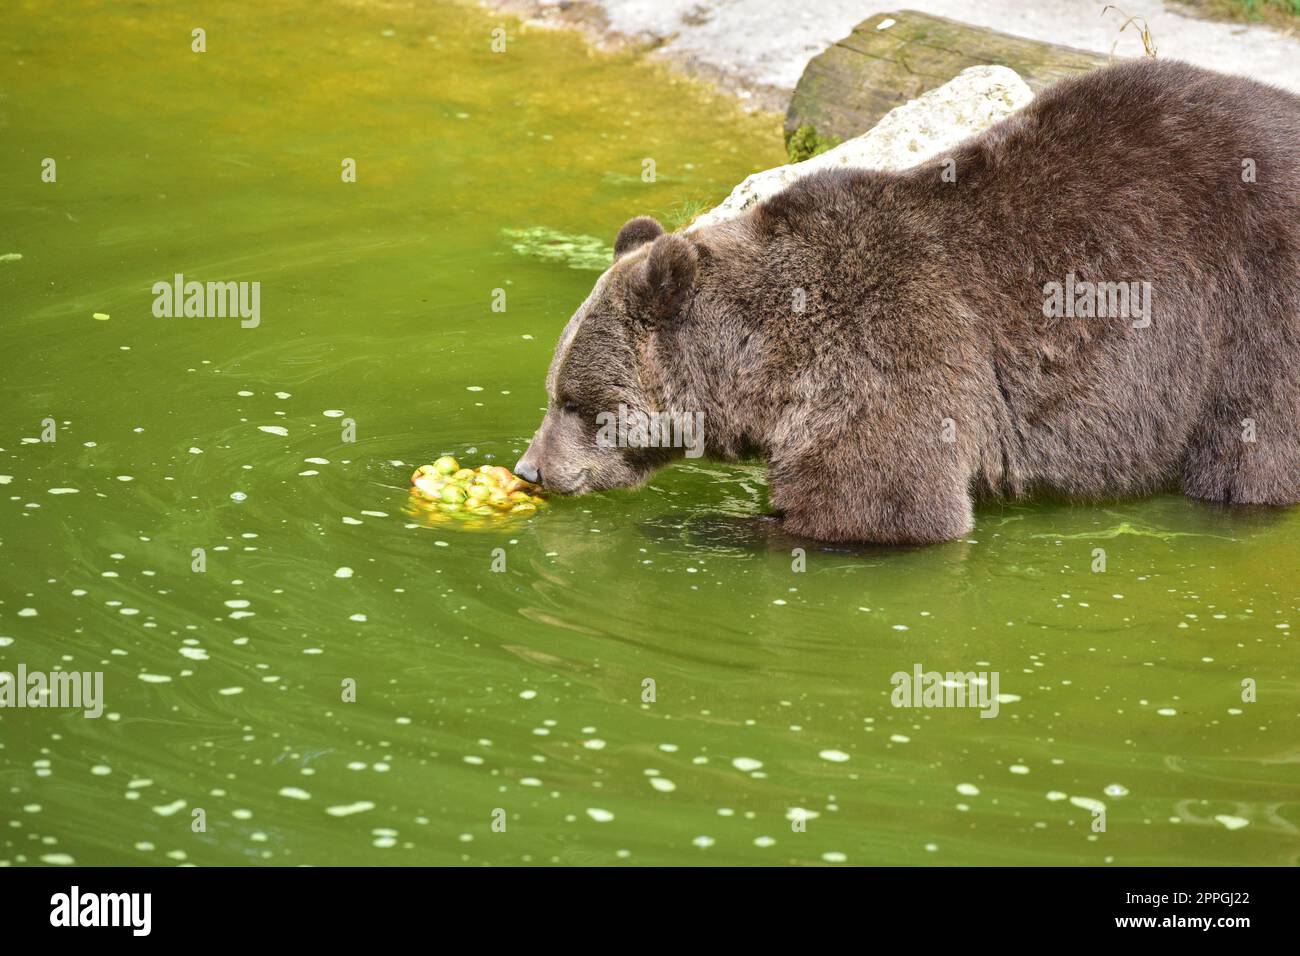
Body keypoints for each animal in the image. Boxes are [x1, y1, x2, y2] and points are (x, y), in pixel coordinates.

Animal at [514, 59, 1300, 541]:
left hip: (1252, 315)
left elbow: (883, 504)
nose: (530, 469)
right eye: (556, 391)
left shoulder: (885, 351)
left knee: (1249, 455)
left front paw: (708, 527)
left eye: (575, 402)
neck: (761, 364)